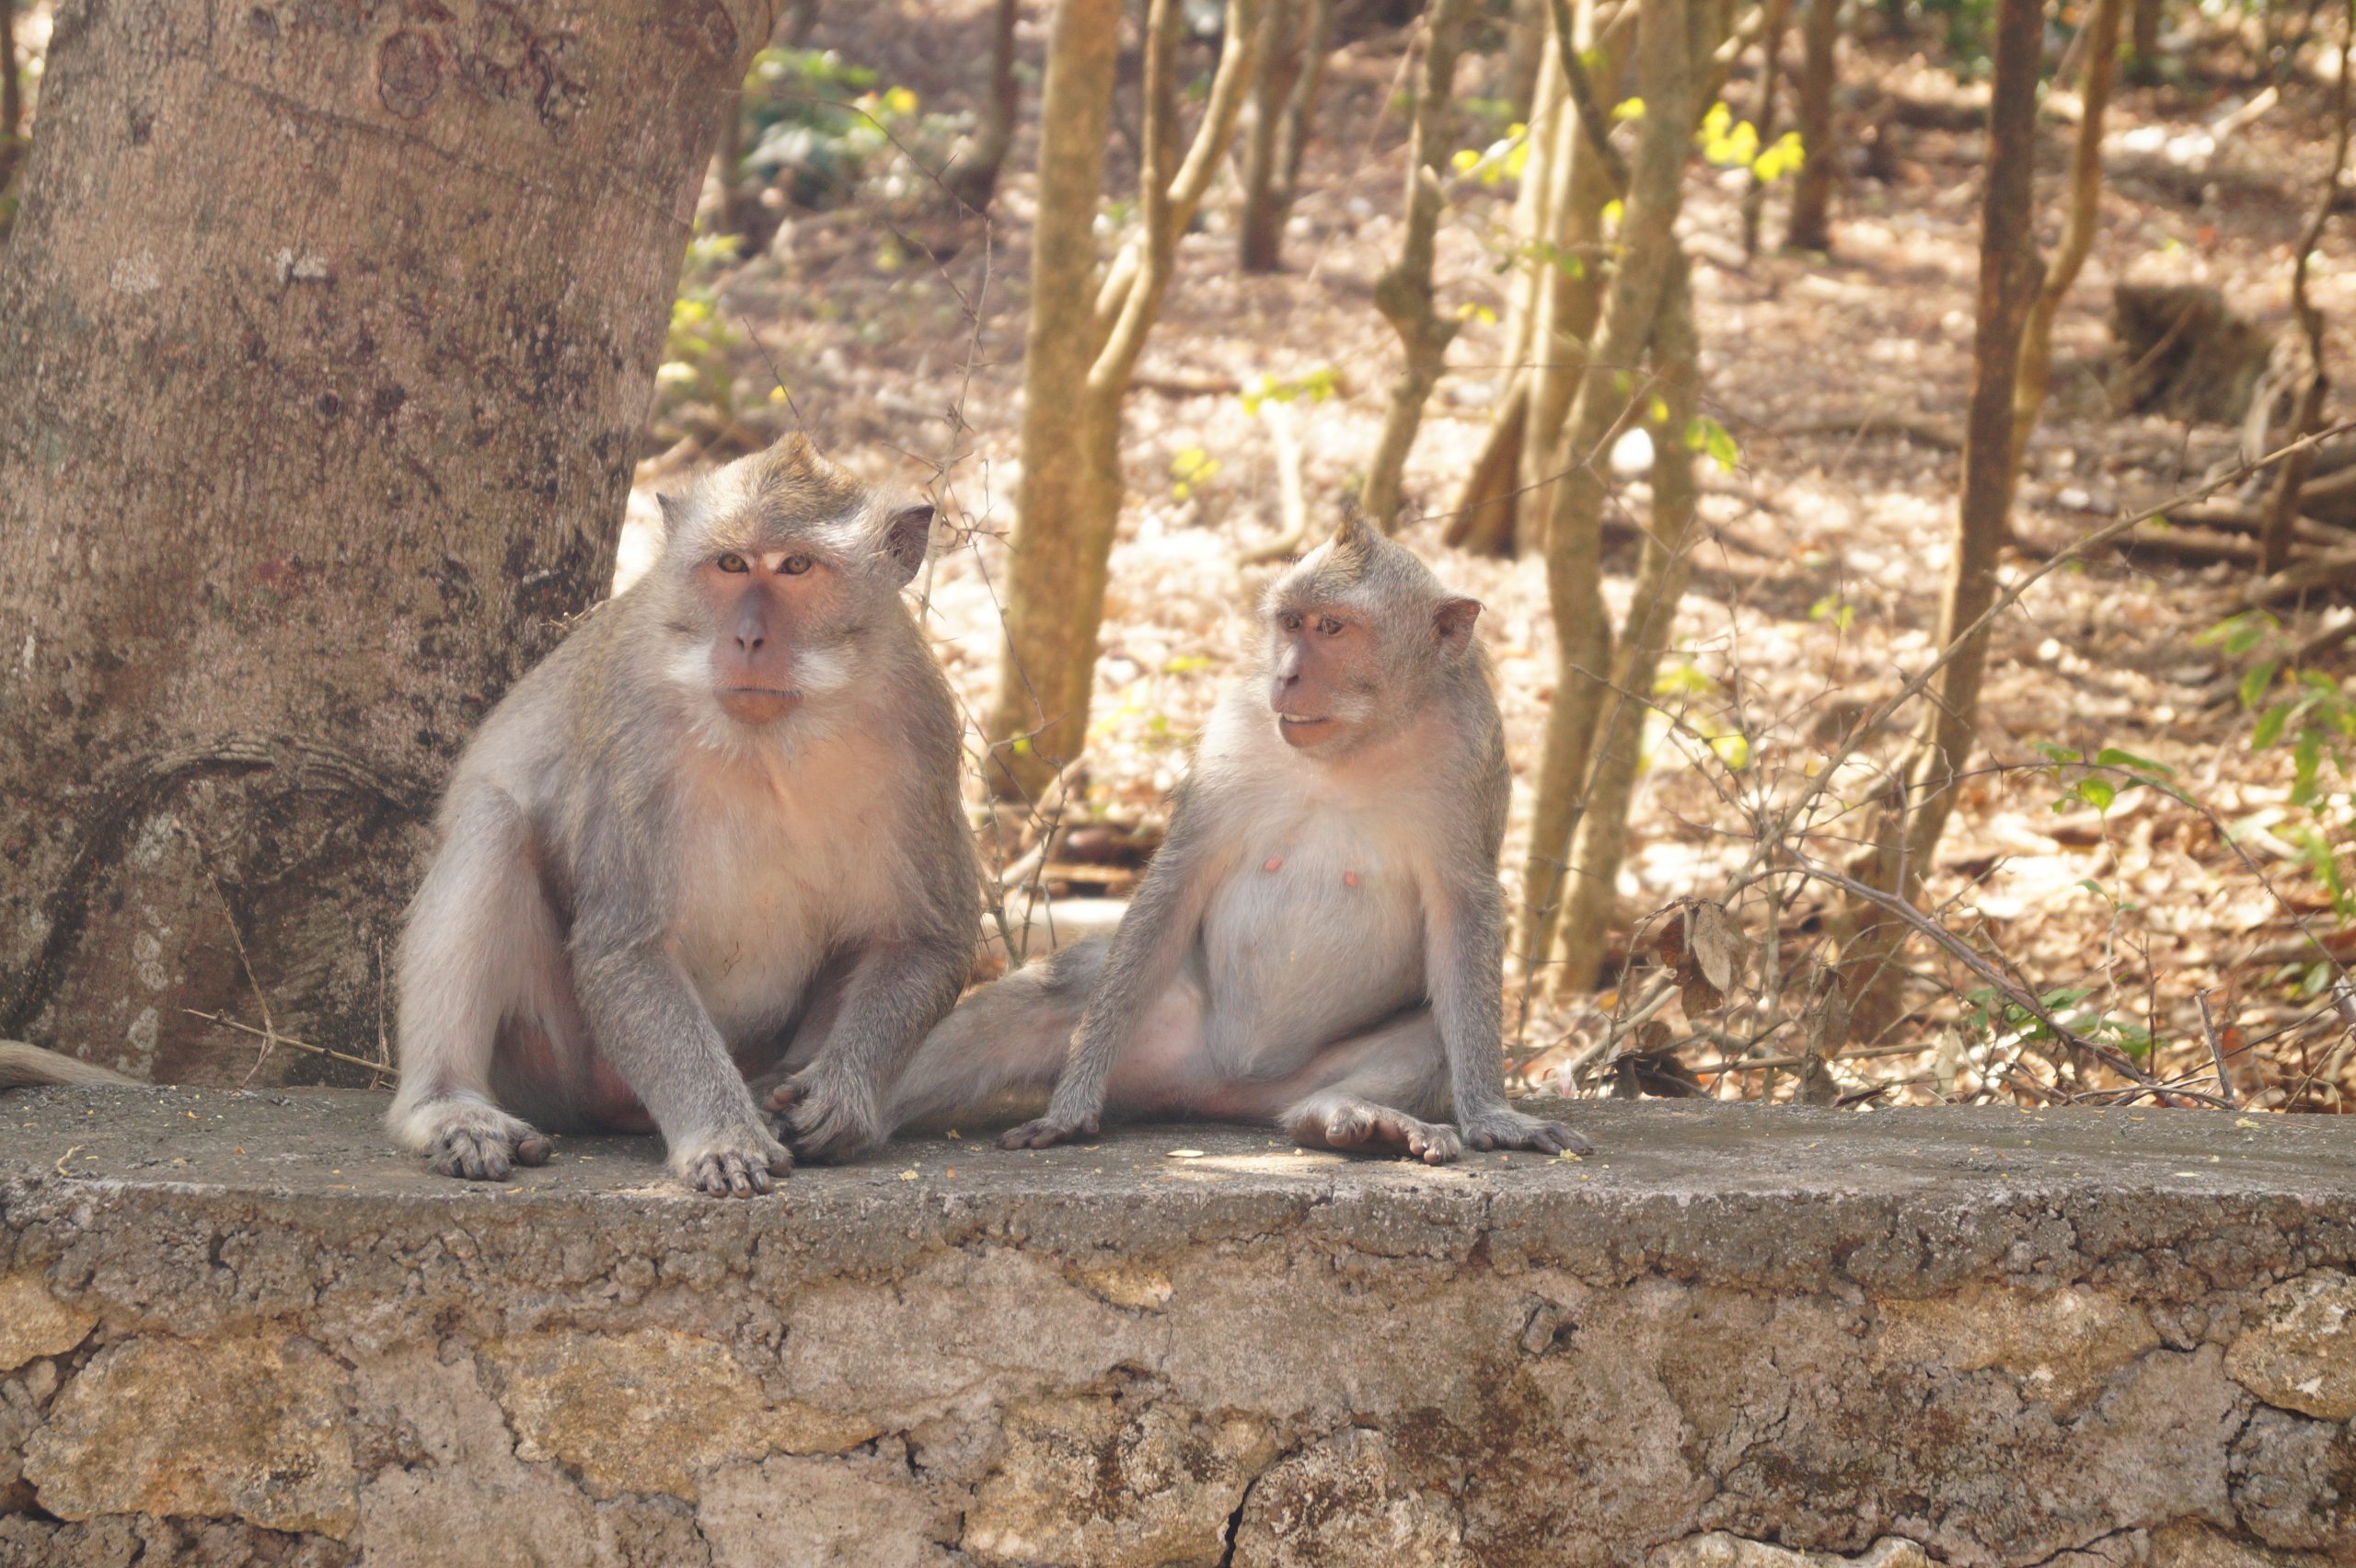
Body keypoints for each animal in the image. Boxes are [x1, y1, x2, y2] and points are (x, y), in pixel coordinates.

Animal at [386, 432, 975, 1191]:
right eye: (730, 564)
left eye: (796, 566)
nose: (748, 639)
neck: (771, 738)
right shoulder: (632, 727)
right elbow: (626, 947)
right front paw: (721, 1136)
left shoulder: (921, 723)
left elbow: (921, 939)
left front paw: (841, 1098)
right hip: (555, 1060)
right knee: (494, 821)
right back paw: (446, 1106)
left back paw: (780, 1091)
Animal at [885, 506, 1601, 1153]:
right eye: (1290, 623)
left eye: (1332, 627)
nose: (1287, 674)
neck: (1354, 746)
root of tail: (1219, 1088)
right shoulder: (1235, 732)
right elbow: (1178, 878)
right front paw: (1071, 1102)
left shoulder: (1470, 749)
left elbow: (1463, 910)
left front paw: (1491, 1114)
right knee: (1062, 984)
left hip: (1293, 1079)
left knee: (1425, 1035)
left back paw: (1345, 1115)